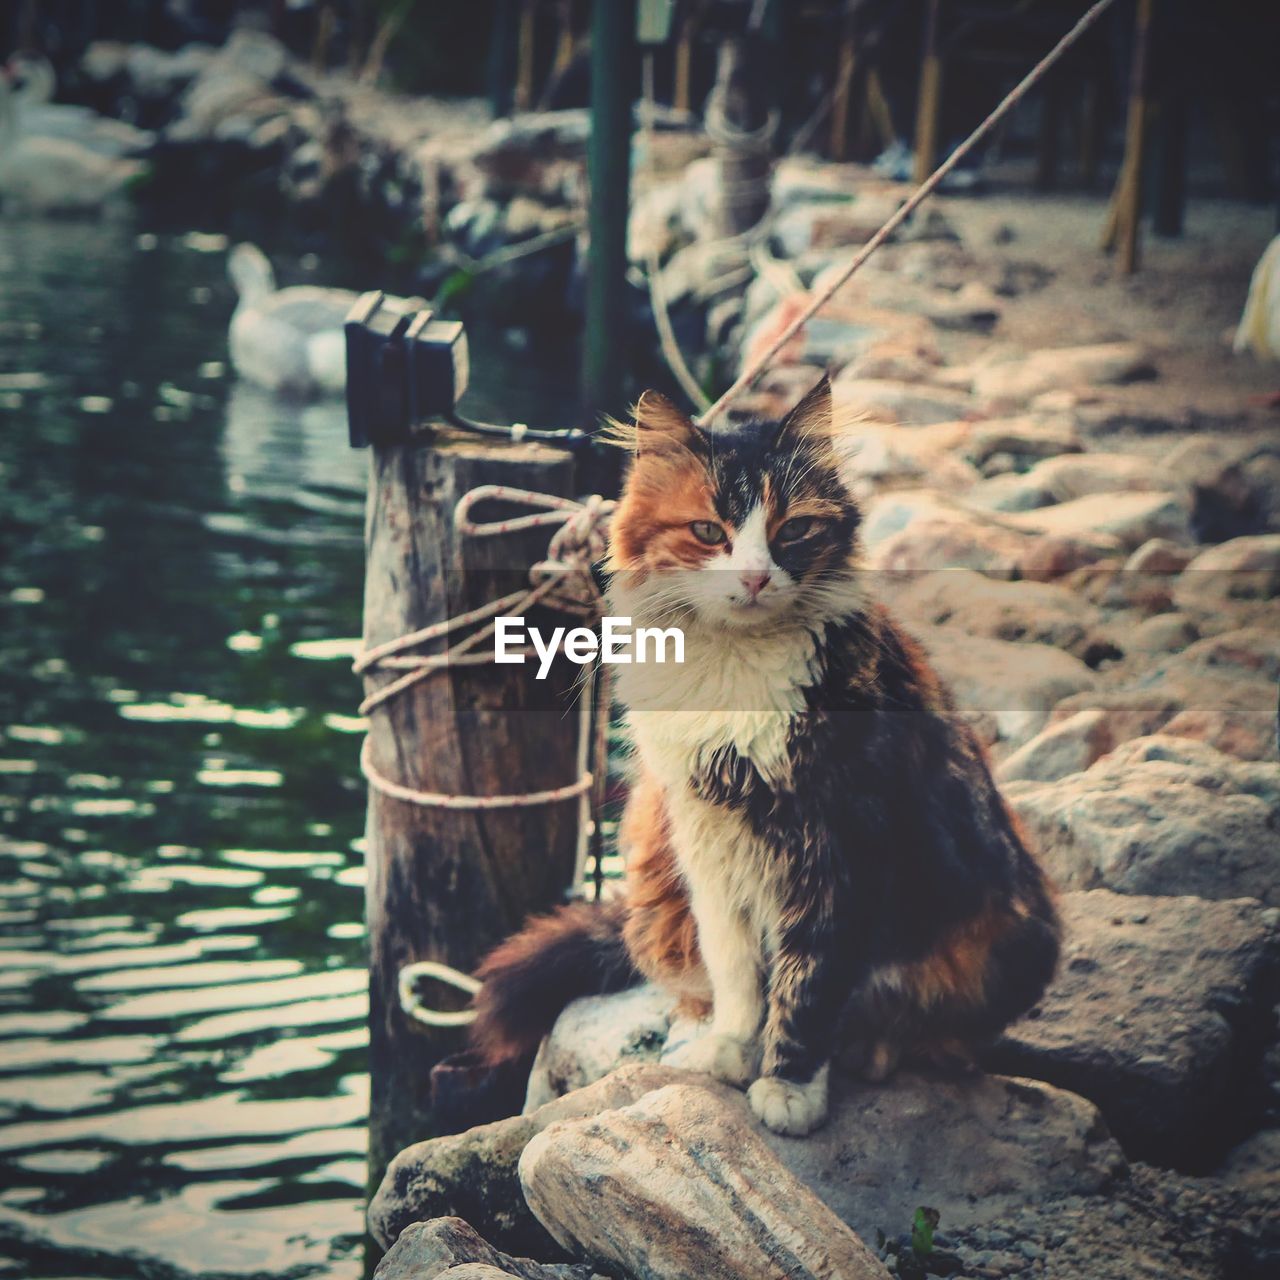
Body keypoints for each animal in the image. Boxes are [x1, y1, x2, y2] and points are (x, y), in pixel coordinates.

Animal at [471, 373, 1059, 1136]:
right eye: (708, 532)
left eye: (793, 531)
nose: (753, 578)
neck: (732, 670)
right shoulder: (709, 848)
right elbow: (736, 972)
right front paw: (730, 1049)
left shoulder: (838, 847)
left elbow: (807, 984)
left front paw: (789, 1088)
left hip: (1000, 934)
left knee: (936, 1033)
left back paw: (870, 1050)